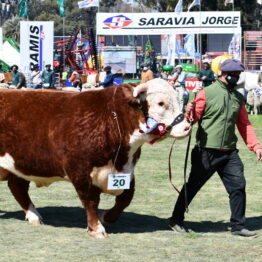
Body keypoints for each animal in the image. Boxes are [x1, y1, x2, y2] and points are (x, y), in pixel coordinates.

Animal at [0, 78, 190, 237]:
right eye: (161, 103)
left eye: (178, 99)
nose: (187, 127)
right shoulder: (79, 170)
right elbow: (90, 200)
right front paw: (97, 228)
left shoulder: (127, 171)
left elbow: (126, 198)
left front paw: (106, 216)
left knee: (17, 187)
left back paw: (34, 216)